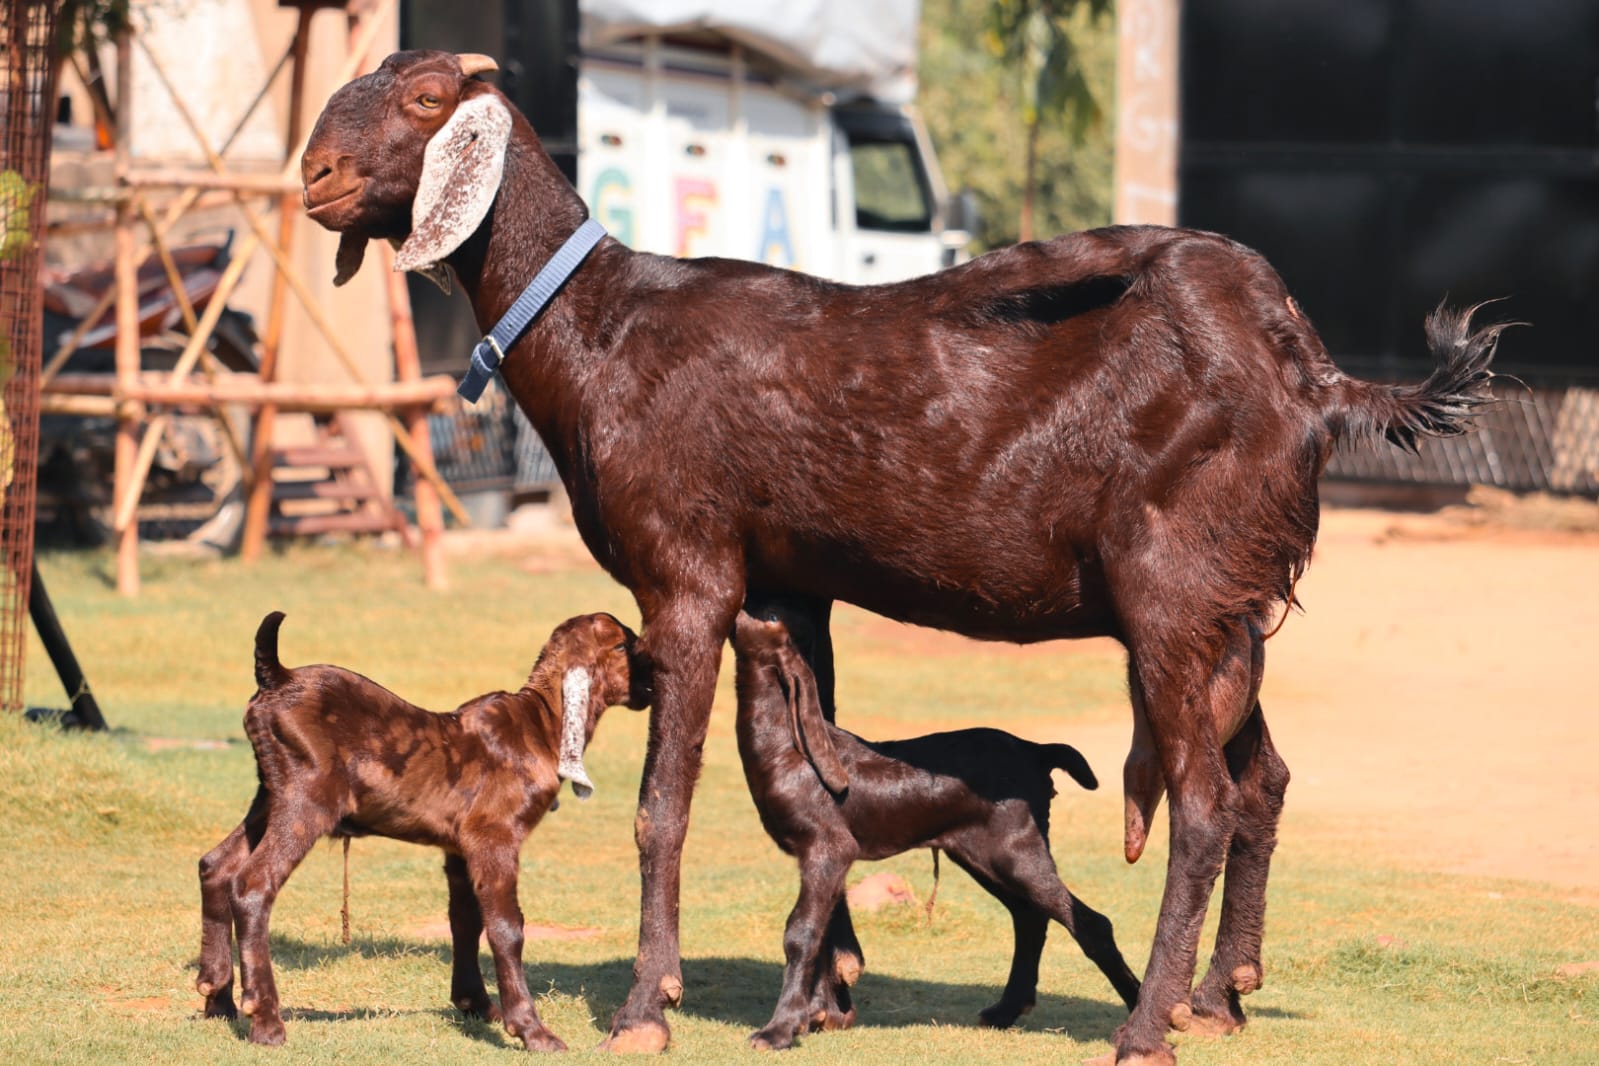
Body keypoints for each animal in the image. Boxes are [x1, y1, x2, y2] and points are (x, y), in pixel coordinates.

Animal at [195, 610, 647, 1049]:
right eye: (622, 645)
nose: (649, 688)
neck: (540, 725)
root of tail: (278, 676)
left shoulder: (460, 848)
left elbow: (466, 919)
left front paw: (475, 1004)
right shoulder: (495, 835)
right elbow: (506, 927)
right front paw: (532, 1031)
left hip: (269, 794)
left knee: (216, 864)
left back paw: (217, 996)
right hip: (307, 796)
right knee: (253, 882)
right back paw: (266, 1022)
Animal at [731, 611, 1141, 1049]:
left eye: (771, 618)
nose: (741, 608)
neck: (790, 750)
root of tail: (1036, 750)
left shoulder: (828, 849)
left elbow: (802, 931)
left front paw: (778, 1030)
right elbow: (824, 933)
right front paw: (813, 1017)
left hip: (1016, 850)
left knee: (1090, 922)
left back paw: (1138, 1011)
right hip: (982, 856)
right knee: (1029, 916)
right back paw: (1005, 1010)